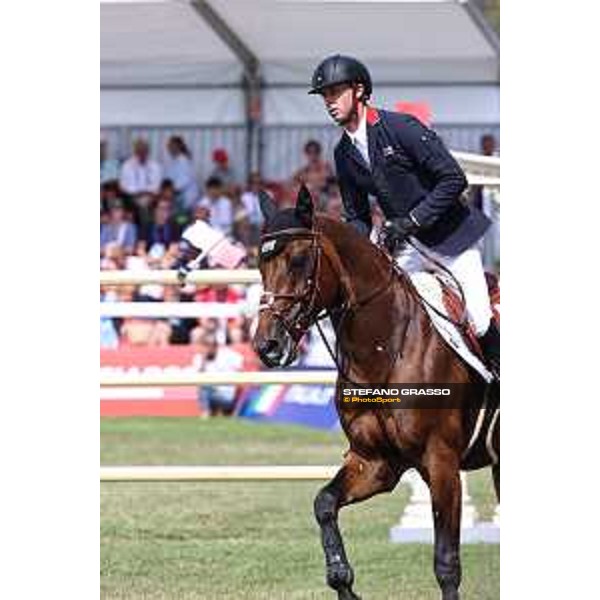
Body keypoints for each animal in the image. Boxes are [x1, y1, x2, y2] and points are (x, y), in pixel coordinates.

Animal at [252, 186, 496, 600]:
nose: (267, 346)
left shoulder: (441, 461)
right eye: (259, 264)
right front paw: (342, 580)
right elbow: (324, 503)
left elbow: (446, 563)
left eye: (299, 260)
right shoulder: (376, 461)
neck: (383, 352)